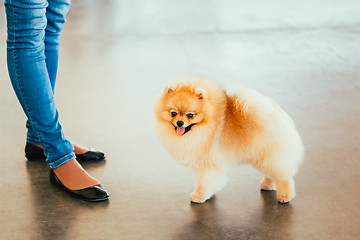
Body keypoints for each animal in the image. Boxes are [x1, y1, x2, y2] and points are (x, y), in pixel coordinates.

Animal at [153, 81, 302, 203]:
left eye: (190, 115)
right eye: (173, 113)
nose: (180, 122)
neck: (205, 126)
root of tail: (275, 111)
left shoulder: (206, 165)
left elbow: (203, 182)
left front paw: (199, 196)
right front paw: (209, 194)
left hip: (269, 155)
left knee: (284, 177)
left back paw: (285, 196)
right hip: (262, 156)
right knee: (271, 173)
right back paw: (267, 185)